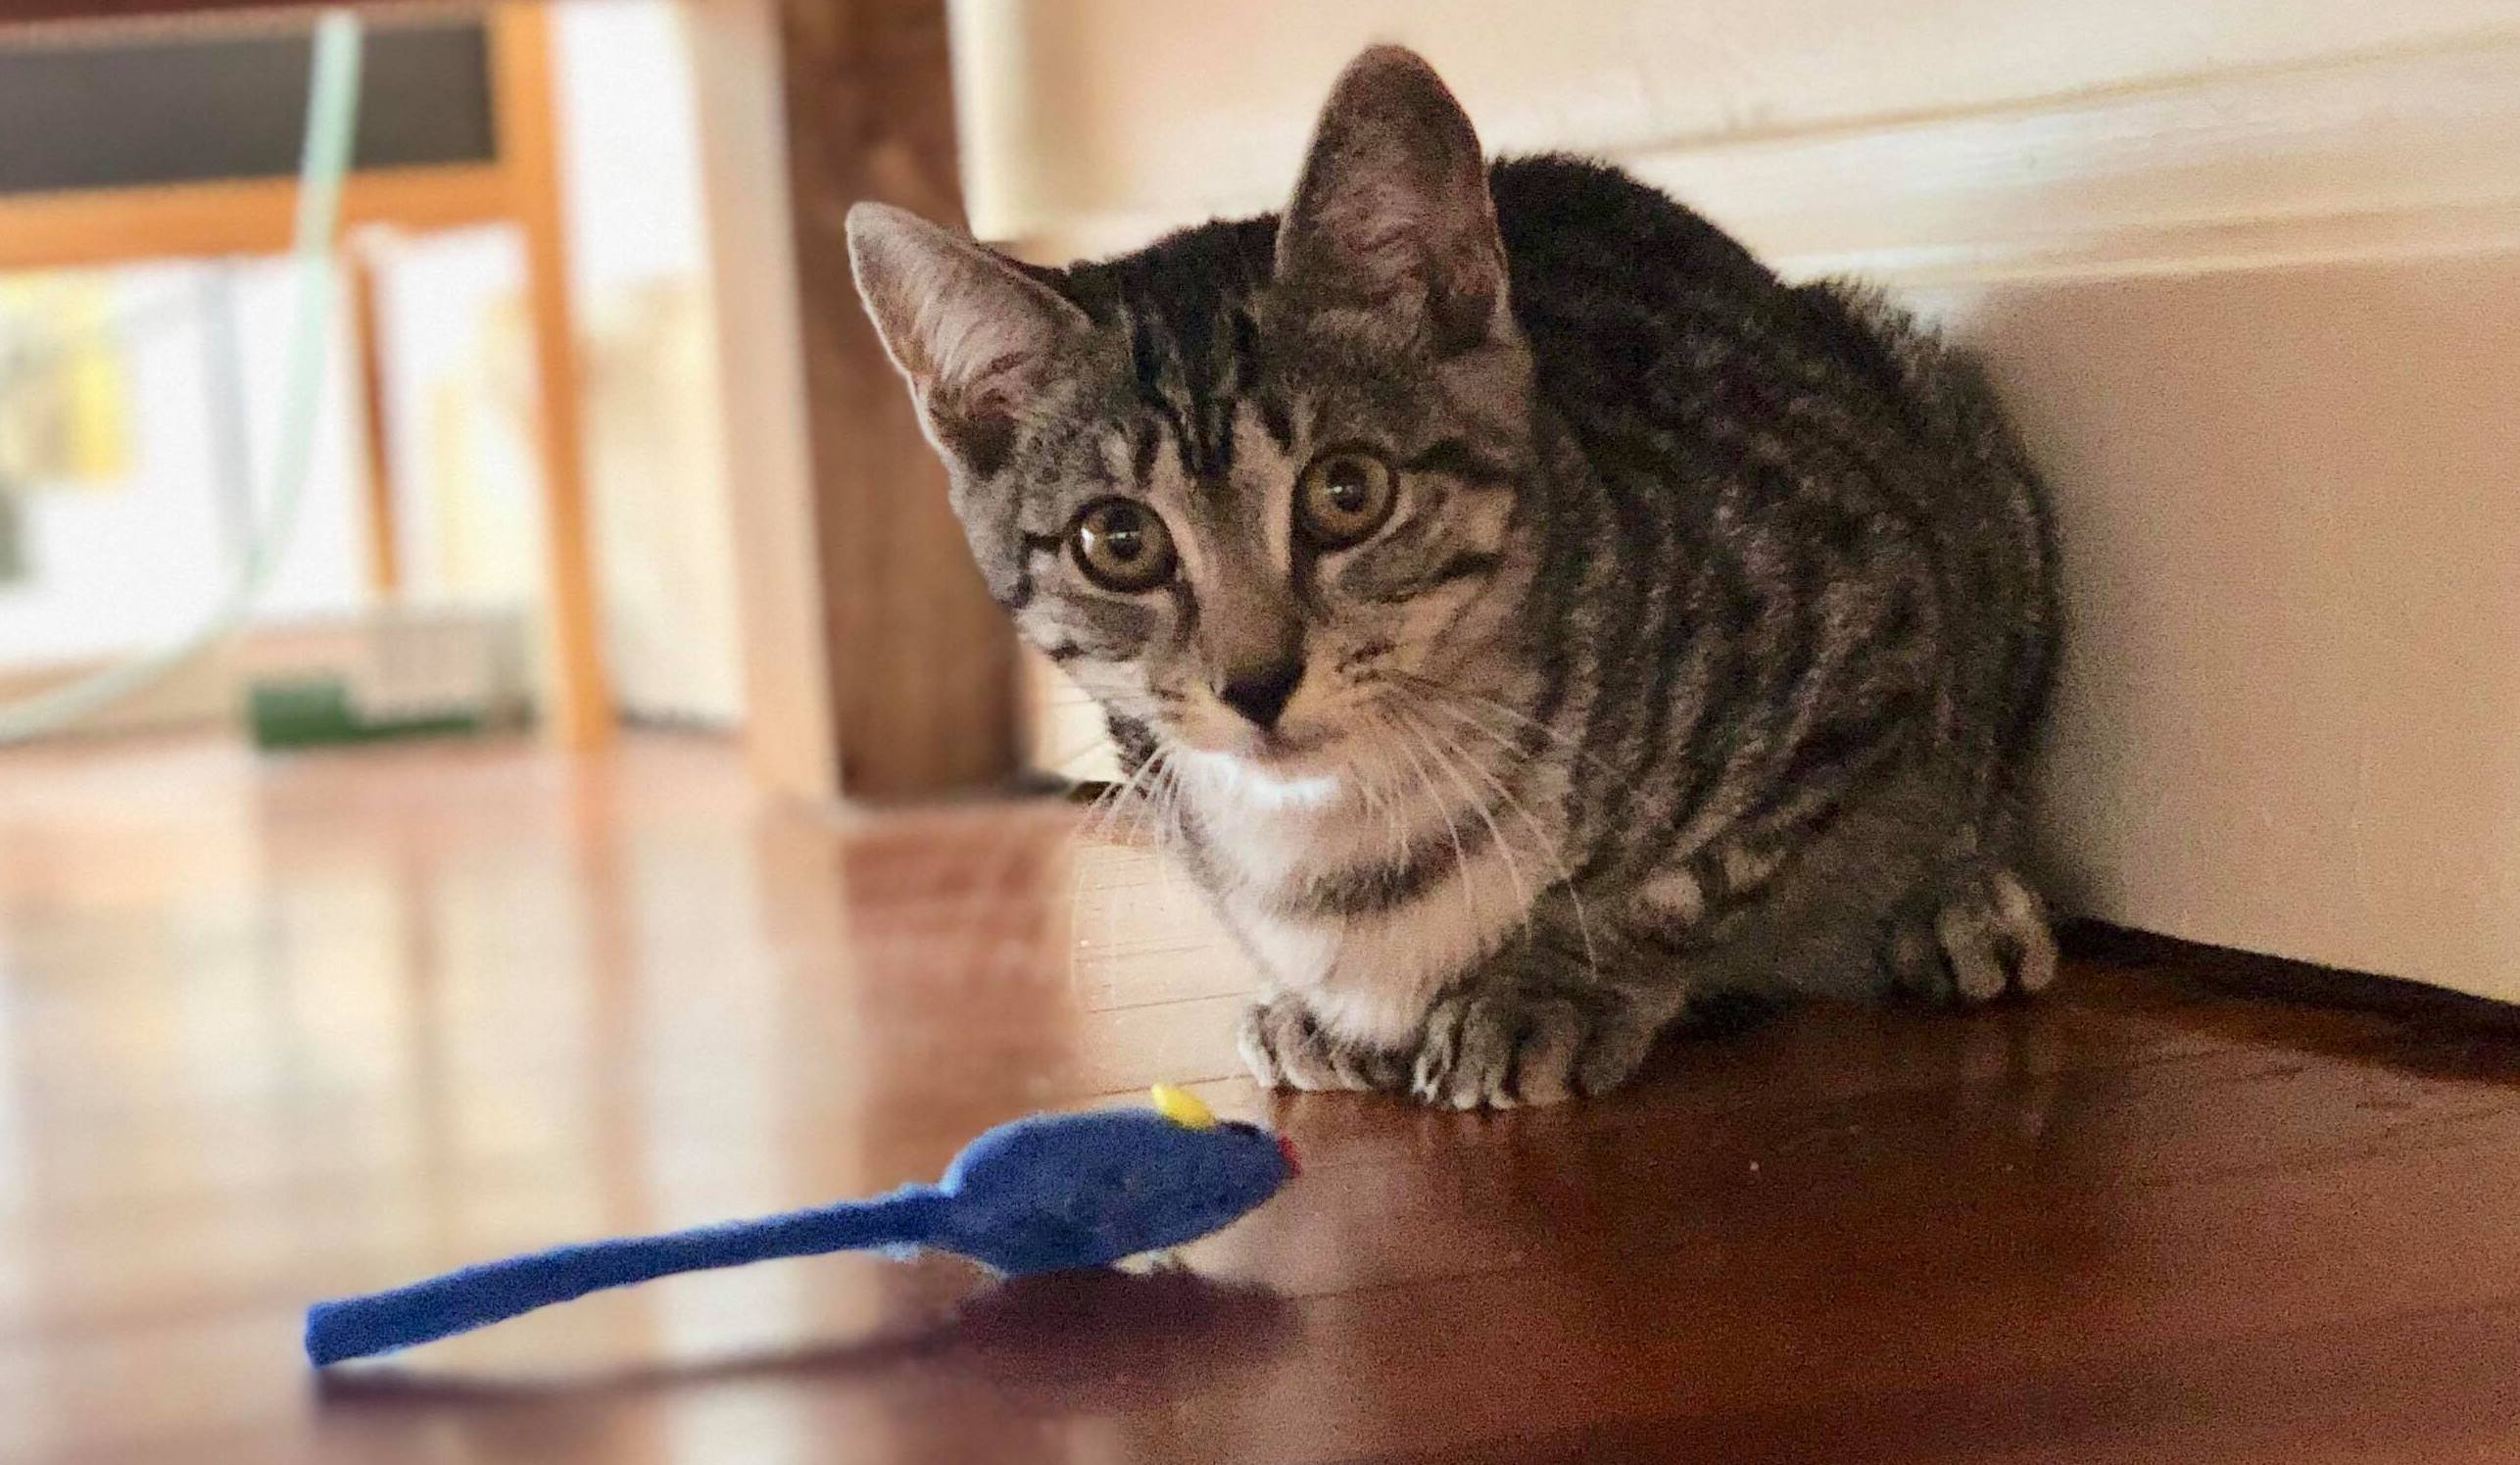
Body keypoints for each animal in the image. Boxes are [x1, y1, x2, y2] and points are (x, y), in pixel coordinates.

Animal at [846, 45, 2058, 1108]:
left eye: (1347, 491)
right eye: (1119, 541)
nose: (1255, 681)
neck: (1346, 830)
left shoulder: (1871, 622)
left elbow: (1682, 881)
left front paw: (1548, 987)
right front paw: (1320, 1006)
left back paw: (1959, 908)